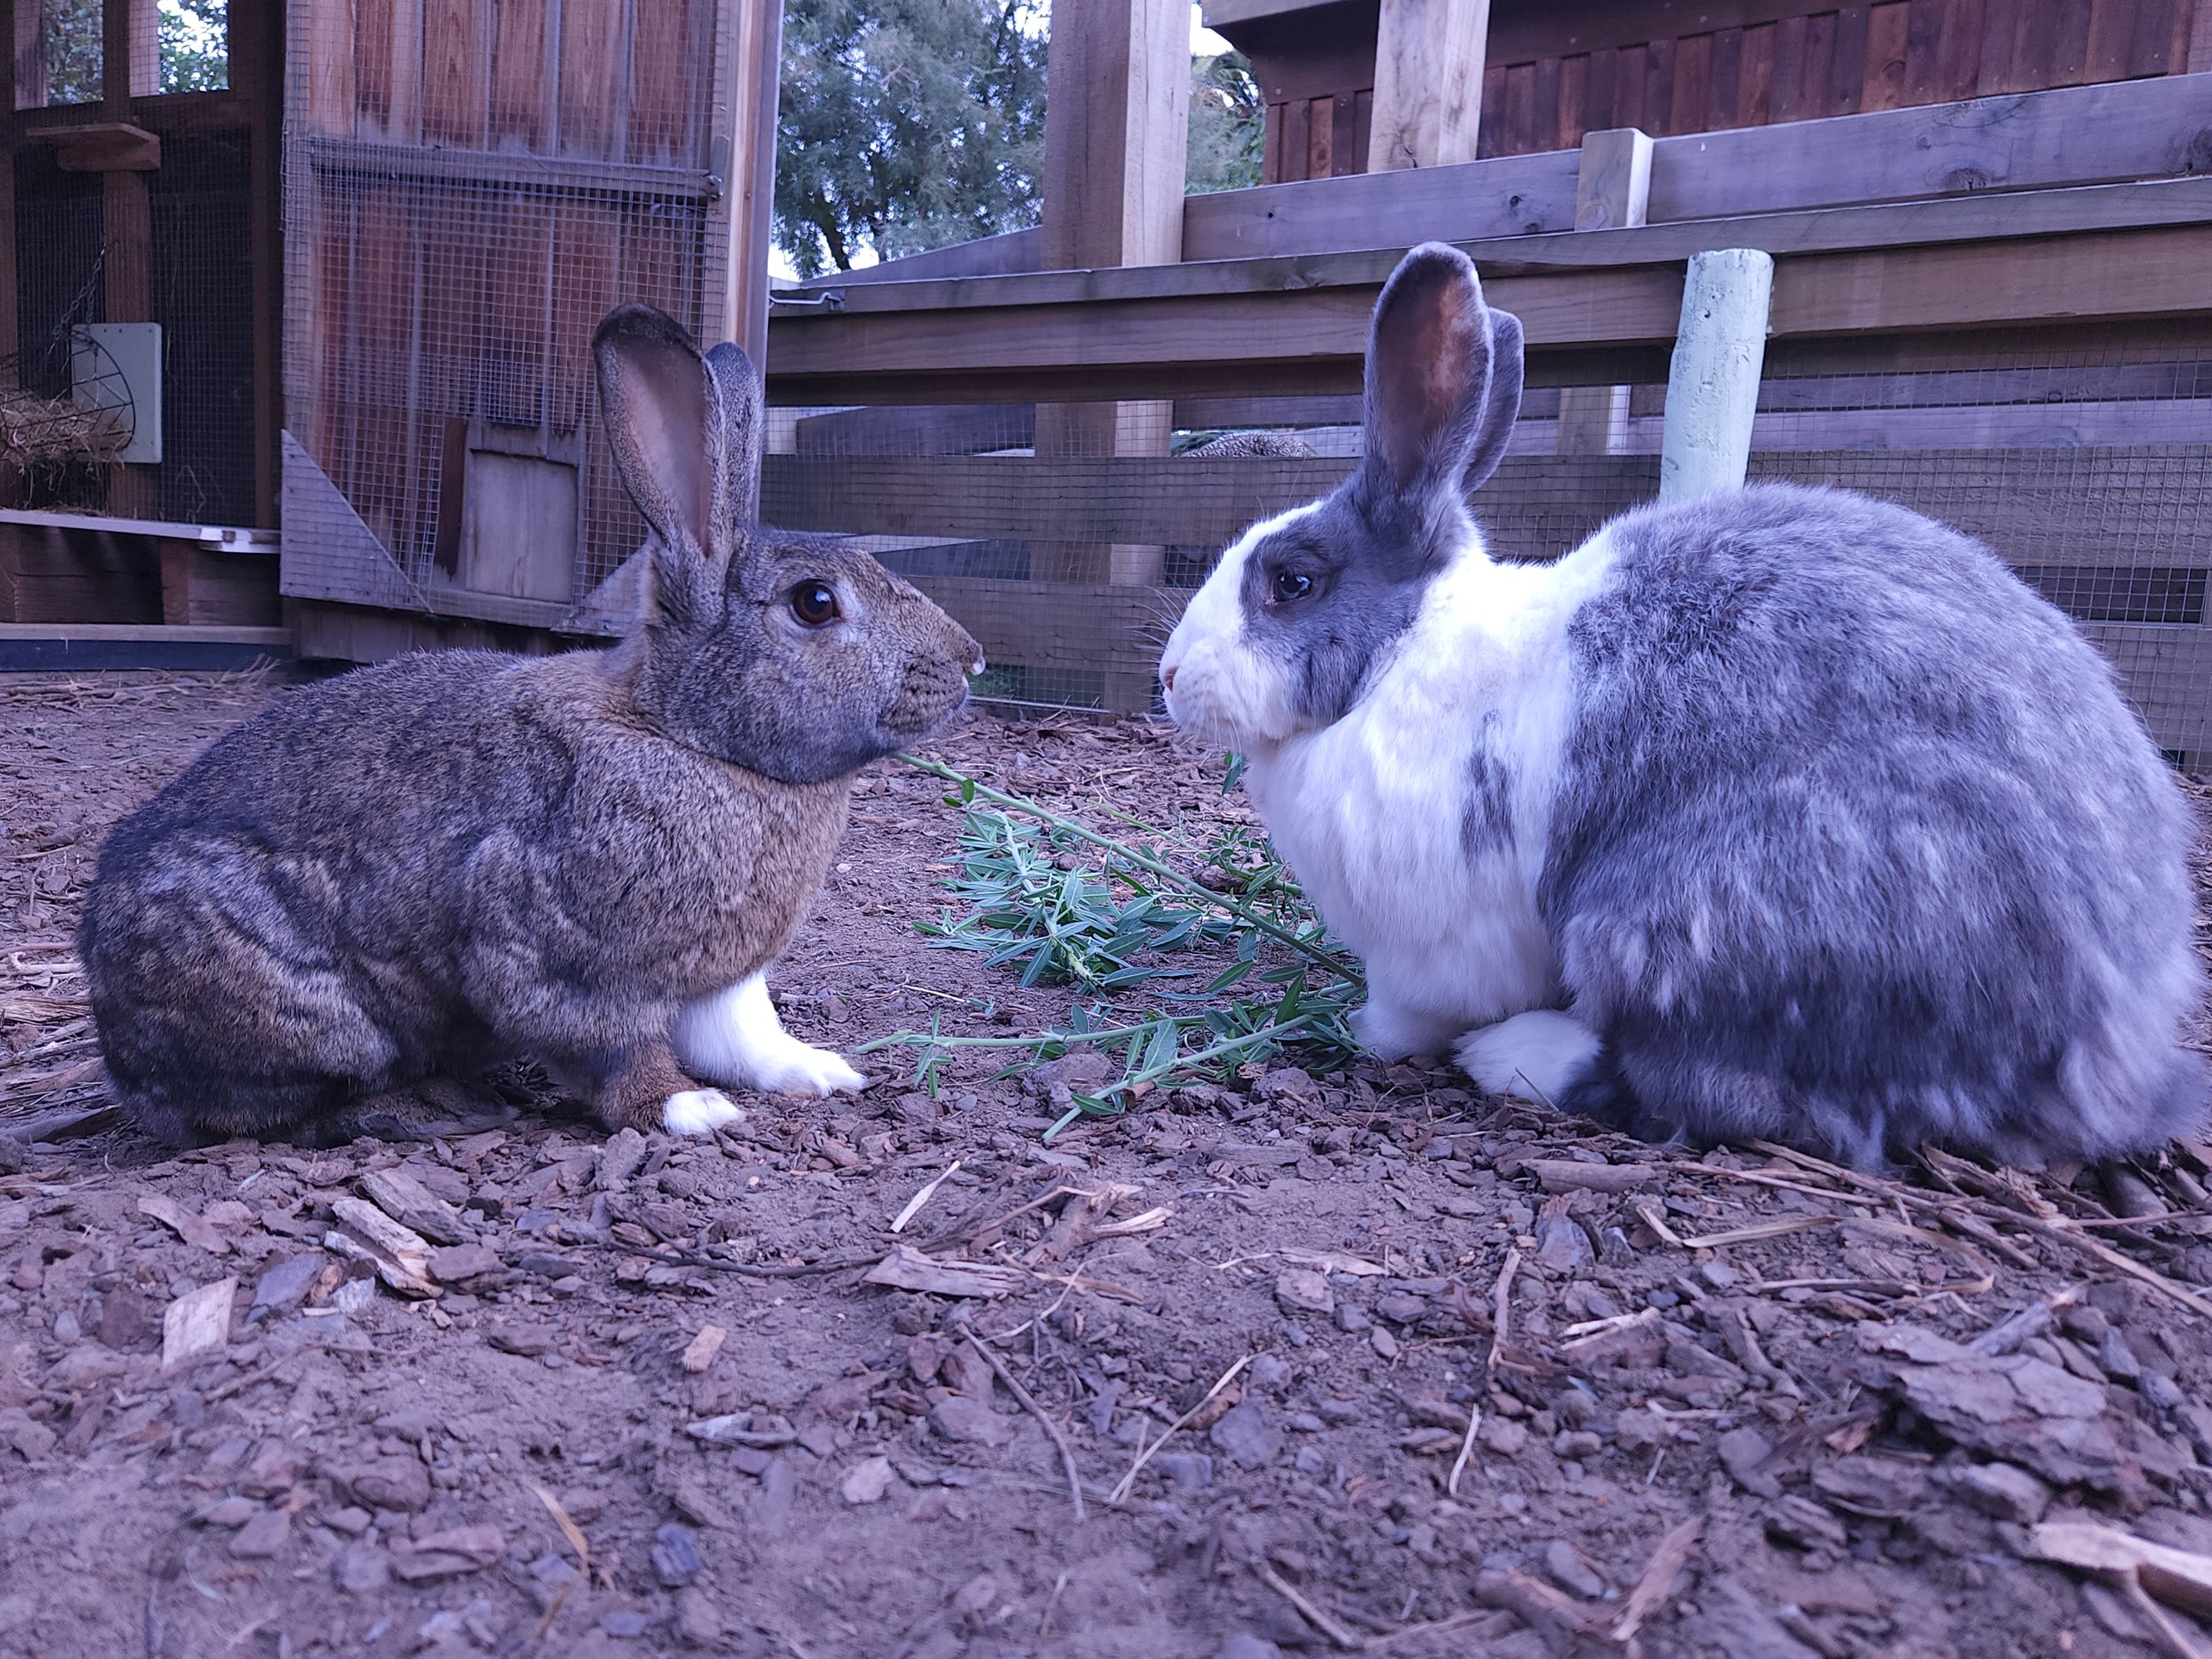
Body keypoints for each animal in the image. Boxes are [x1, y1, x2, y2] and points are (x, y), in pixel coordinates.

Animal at [80, 305, 978, 1150]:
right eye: (814, 603)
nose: (969, 659)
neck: (687, 732)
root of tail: (119, 1045)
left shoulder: (719, 975)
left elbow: (746, 1037)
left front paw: (821, 1072)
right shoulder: (555, 956)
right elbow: (614, 1052)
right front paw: (691, 1110)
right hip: (307, 1014)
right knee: (280, 1111)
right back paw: (438, 1107)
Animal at [1168, 240, 2203, 1177]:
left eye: (1292, 582)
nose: (1173, 676)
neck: (1402, 656)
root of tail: (2109, 1043)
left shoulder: (1433, 945)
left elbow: (1414, 1007)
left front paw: (1368, 1031)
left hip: (1682, 922)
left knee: (1737, 1095)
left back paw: (1515, 1056)